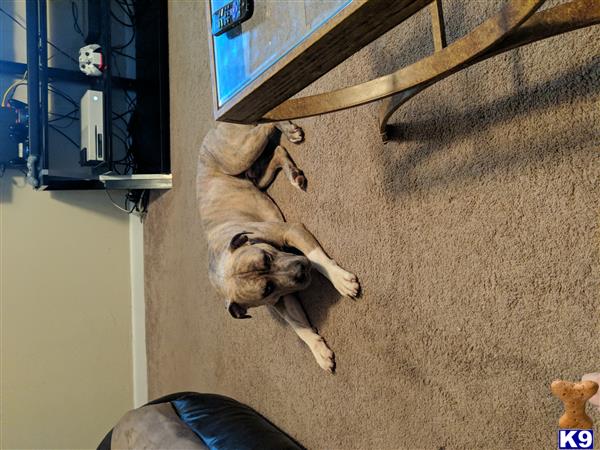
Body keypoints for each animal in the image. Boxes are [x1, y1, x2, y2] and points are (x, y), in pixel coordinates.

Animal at [196, 121, 360, 370]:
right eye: (268, 289)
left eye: (266, 257)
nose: (301, 270)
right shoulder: (282, 300)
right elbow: (298, 325)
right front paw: (318, 350)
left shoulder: (291, 231)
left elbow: (317, 258)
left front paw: (341, 280)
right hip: (255, 176)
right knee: (277, 152)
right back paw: (294, 173)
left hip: (238, 155)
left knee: (264, 125)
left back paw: (289, 130)